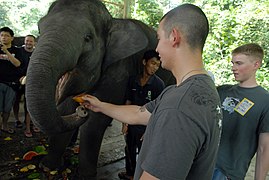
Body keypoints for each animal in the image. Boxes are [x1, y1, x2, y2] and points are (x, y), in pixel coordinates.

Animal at [25, 0, 174, 178]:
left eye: (88, 38)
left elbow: (96, 121)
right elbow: (65, 109)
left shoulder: (119, 69)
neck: (112, 21)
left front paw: (85, 176)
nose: (82, 109)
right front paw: (48, 167)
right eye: (39, 29)